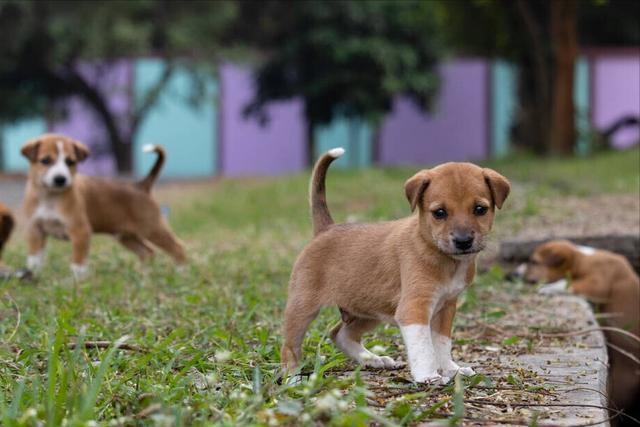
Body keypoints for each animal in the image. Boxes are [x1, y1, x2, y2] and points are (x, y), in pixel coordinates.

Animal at [21, 132, 186, 278]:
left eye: (70, 162)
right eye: (45, 160)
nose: (60, 179)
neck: (49, 197)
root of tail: (141, 185)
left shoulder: (80, 231)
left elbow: (77, 263)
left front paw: (76, 281)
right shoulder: (35, 231)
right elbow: (34, 260)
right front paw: (33, 276)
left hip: (152, 228)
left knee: (178, 248)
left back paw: (181, 273)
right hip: (126, 236)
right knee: (147, 252)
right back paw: (145, 275)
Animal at [282, 148, 512, 384]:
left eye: (480, 209)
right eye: (439, 212)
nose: (463, 241)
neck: (443, 258)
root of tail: (327, 228)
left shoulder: (446, 308)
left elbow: (442, 344)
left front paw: (451, 369)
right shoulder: (414, 309)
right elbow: (423, 347)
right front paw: (428, 375)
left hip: (370, 310)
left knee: (340, 334)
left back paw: (372, 359)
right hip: (303, 308)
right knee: (290, 347)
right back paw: (292, 378)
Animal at [520, 241, 640, 412]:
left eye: (533, 262)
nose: (512, 274)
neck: (584, 258)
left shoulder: (598, 283)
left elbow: (568, 283)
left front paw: (546, 288)